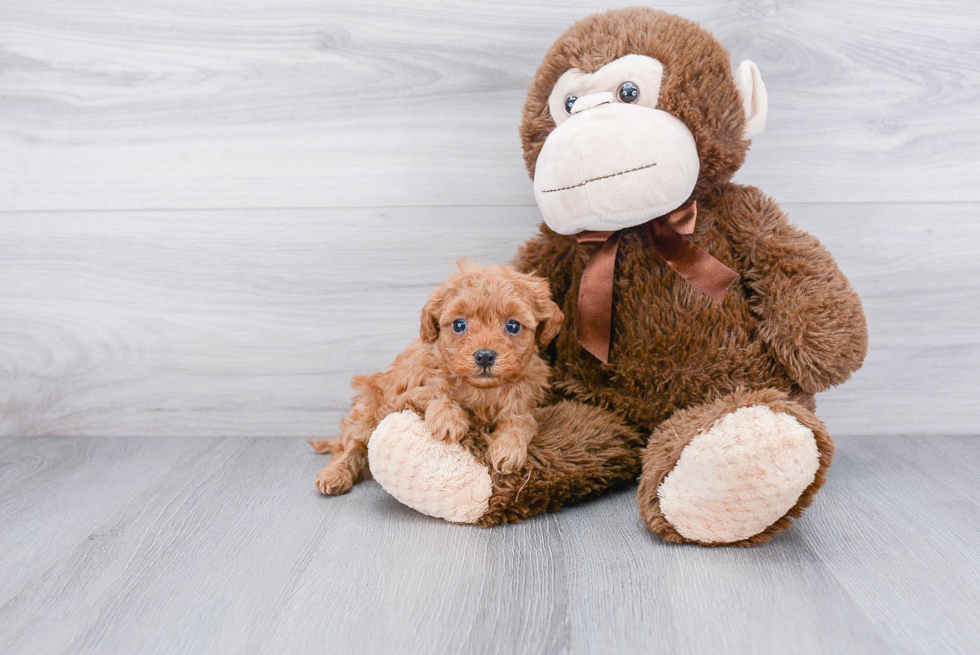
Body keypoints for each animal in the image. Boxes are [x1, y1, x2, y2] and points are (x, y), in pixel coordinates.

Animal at [310, 258, 564, 494]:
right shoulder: (402, 397)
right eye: (459, 325)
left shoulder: (522, 406)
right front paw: (449, 419)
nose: (484, 356)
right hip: (367, 408)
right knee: (350, 446)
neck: (482, 391)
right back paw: (335, 475)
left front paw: (508, 449)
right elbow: (436, 392)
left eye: (513, 326)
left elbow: (518, 423)